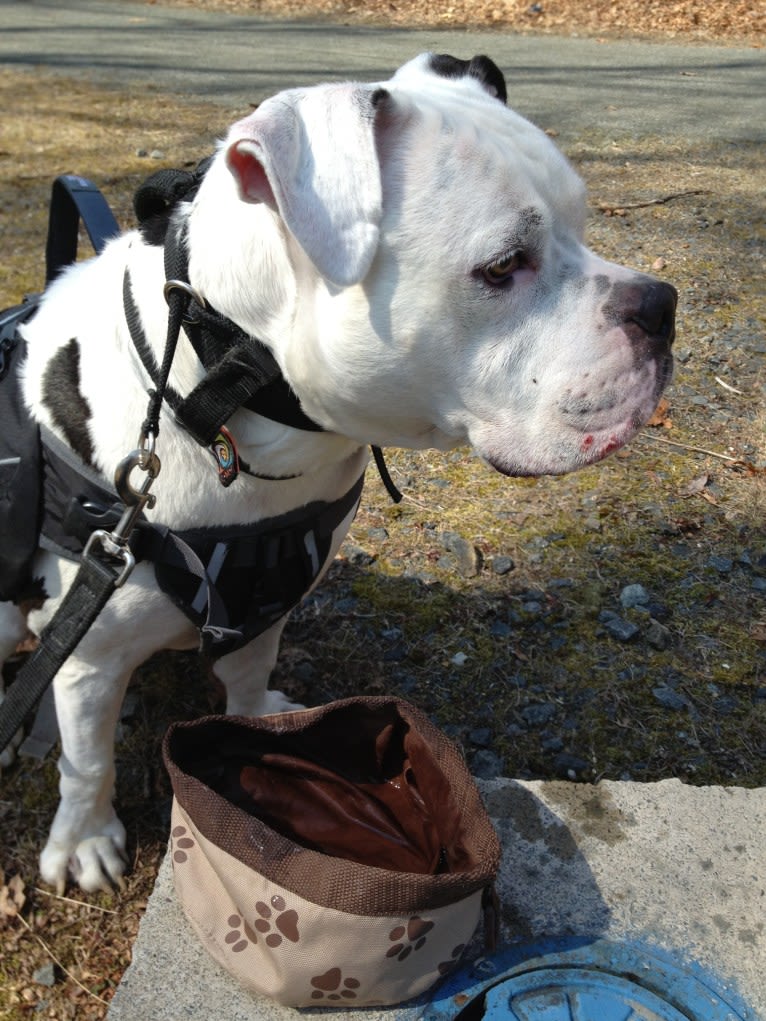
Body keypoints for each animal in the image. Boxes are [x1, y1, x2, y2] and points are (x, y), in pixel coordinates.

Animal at [0, 51, 674, 890]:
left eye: (583, 222)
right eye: (504, 265)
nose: (661, 307)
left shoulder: (269, 601)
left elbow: (247, 672)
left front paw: (261, 726)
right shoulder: (90, 655)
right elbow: (88, 760)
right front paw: (85, 838)